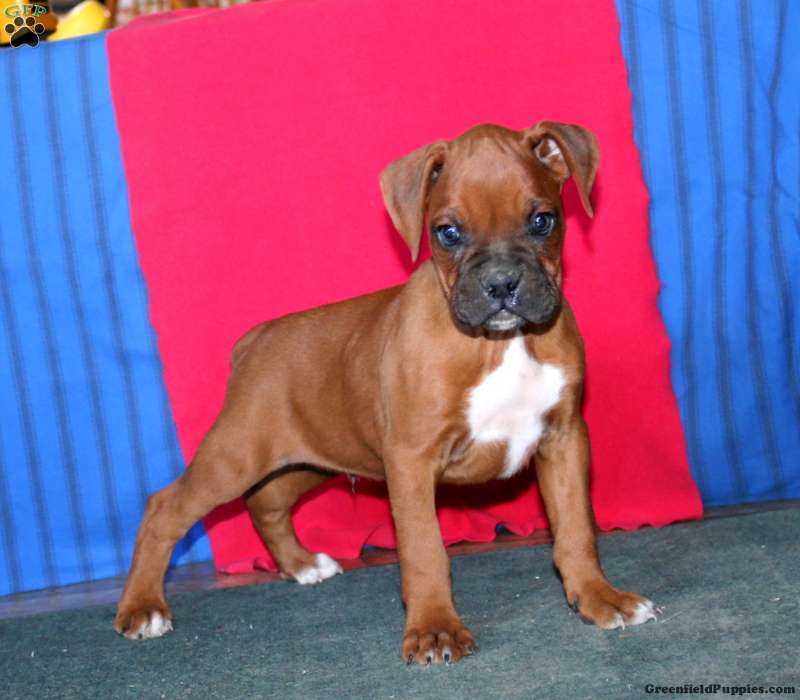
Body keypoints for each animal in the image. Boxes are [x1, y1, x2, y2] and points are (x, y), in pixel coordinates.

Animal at [114, 121, 656, 664]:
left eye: (543, 221)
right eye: (448, 232)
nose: (502, 283)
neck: (500, 343)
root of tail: (258, 338)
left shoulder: (564, 440)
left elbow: (576, 529)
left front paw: (598, 597)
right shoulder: (412, 460)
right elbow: (424, 549)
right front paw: (435, 628)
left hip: (308, 460)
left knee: (266, 504)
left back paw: (302, 564)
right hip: (237, 456)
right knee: (165, 508)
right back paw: (143, 608)